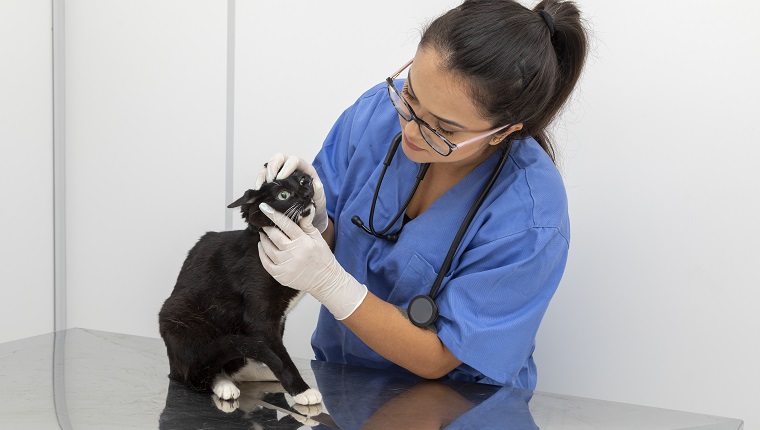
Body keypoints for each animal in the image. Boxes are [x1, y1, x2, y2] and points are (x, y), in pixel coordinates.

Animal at [159, 170, 322, 404]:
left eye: (302, 180)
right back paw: (223, 384)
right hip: (178, 314)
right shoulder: (260, 319)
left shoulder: (280, 319)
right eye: (283, 195)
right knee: (197, 373)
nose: (307, 192)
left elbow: (275, 352)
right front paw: (301, 390)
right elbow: (280, 358)